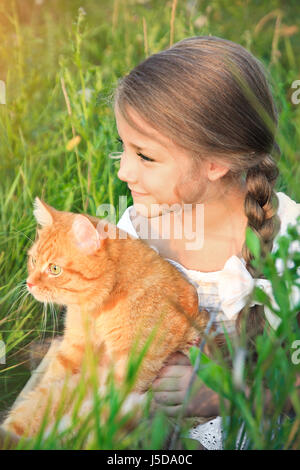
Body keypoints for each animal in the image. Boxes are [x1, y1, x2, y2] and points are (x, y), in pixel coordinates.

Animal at [1, 196, 209, 438]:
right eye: (33, 260)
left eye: (54, 269)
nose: (29, 283)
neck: (99, 308)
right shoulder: (73, 346)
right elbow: (51, 378)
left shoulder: (128, 370)